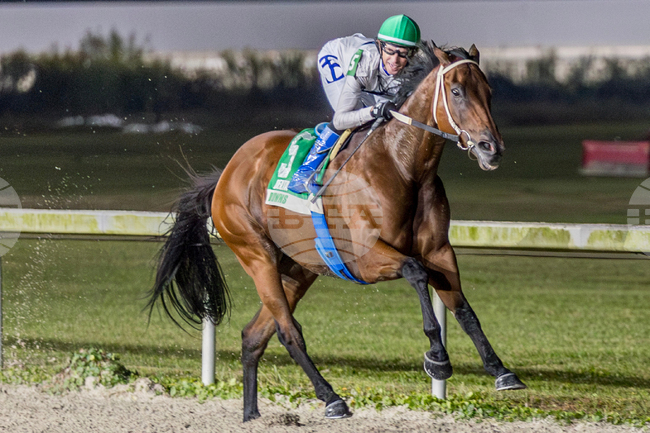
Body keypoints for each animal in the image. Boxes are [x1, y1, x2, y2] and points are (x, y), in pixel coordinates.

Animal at [148, 41, 527, 422]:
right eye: (456, 91)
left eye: (489, 92)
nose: (491, 148)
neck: (403, 167)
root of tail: (227, 173)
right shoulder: (364, 258)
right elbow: (415, 272)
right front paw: (437, 357)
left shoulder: (439, 251)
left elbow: (463, 309)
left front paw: (500, 370)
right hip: (257, 255)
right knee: (288, 331)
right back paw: (331, 398)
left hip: (298, 269)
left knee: (254, 336)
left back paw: (252, 414)